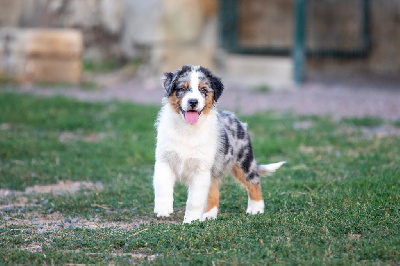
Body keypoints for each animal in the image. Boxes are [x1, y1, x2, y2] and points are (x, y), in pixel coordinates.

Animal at [152, 65, 284, 223]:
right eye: (182, 88)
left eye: (203, 90)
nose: (193, 102)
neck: (187, 130)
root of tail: (235, 118)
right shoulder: (164, 160)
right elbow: (162, 186)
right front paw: (163, 210)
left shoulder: (201, 170)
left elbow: (194, 200)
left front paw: (191, 222)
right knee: (214, 192)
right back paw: (209, 216)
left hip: (243, 161)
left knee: (254, 181)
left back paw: (256, 209)